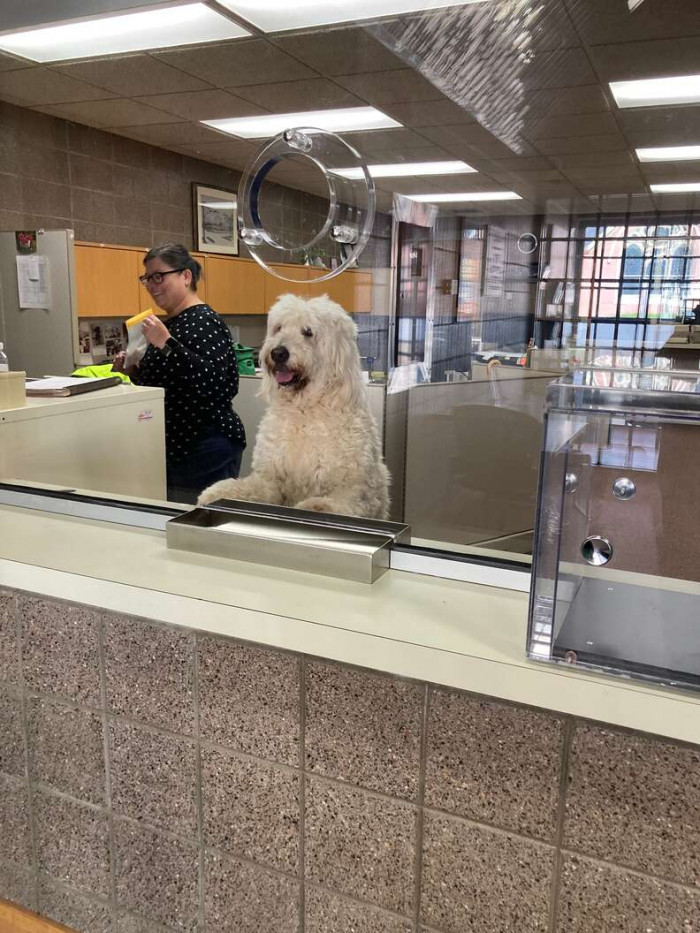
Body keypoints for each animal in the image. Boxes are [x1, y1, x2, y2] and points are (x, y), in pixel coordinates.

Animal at [197, 294, 392, 516]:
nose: (278, 353)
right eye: (279, 328)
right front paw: (215, 493)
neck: (305, 410)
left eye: (308, 331)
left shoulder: (356, 488)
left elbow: (341, 502)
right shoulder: (271, 478)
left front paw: (316, 506)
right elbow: (249, 488)